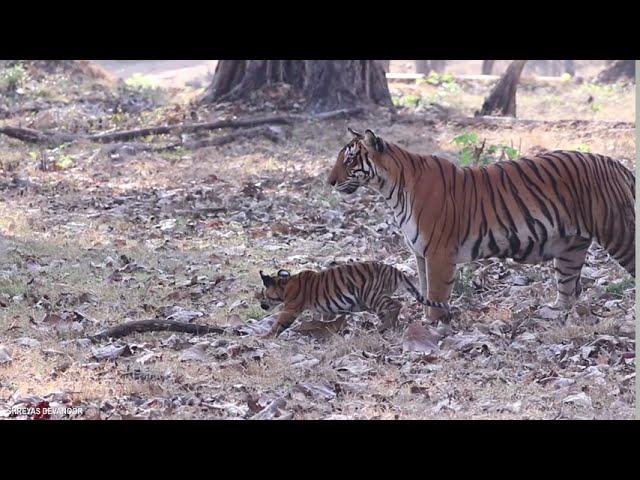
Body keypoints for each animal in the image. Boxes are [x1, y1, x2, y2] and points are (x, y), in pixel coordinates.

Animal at [330, 129, 636, 320]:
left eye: (349, 159)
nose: (330, 182)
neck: (392, 189)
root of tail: (615, 163)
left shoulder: (438, 253)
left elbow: (437, 292)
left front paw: (432, 326)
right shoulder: (420, 254)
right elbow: (425, 289)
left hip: (618, 232)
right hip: (570, 249)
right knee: (568, 290)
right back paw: (552, 313)